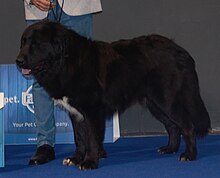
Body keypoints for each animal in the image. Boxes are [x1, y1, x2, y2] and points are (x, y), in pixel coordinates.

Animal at [16, 20, 211, 170]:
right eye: (23, 42)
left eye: (37, 44)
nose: (18, 61)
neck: (66, 62)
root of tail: (179, 50)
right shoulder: (76, 114)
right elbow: (79, 139)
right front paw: (76, 158)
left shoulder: (92, 112)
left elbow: (92, 139)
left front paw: (90, 162)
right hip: (155, 104)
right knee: (172, 126)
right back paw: (169, 149)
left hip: (167, 100)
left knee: (187, 126)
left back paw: (189, 155)